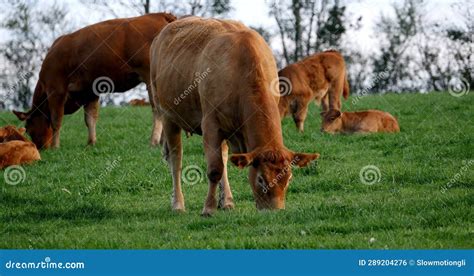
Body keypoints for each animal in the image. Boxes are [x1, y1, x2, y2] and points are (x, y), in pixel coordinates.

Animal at [12, 12, 177, 149]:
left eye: (28, 128)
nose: (39, 147)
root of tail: (159, 15)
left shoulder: (56, 89)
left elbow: (56, 119)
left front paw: (55, 146)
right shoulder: (90, 92)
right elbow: (90, 118)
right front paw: (91, 143)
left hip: (151, 78)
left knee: (158, 110)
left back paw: (154, 141)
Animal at [149, 16, 318, 216]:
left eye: (289, 179)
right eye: (261, 179)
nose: (274, 211)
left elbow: (222, 163)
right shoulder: (210, 124)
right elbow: (214, 170)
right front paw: (208, 207)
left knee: (221, 156)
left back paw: (227, 201)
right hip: (168, 115)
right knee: (176, 159)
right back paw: (178, 204)